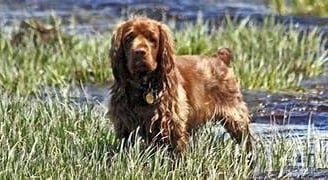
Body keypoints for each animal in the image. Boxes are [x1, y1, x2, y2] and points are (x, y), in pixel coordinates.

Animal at [109, 16, 252, 153]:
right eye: (128, 38)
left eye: (152, 38)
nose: (139, 52)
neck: (143, 86)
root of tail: (219, 58)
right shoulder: (125, 127)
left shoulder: (173, 125)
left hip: (235, 117)